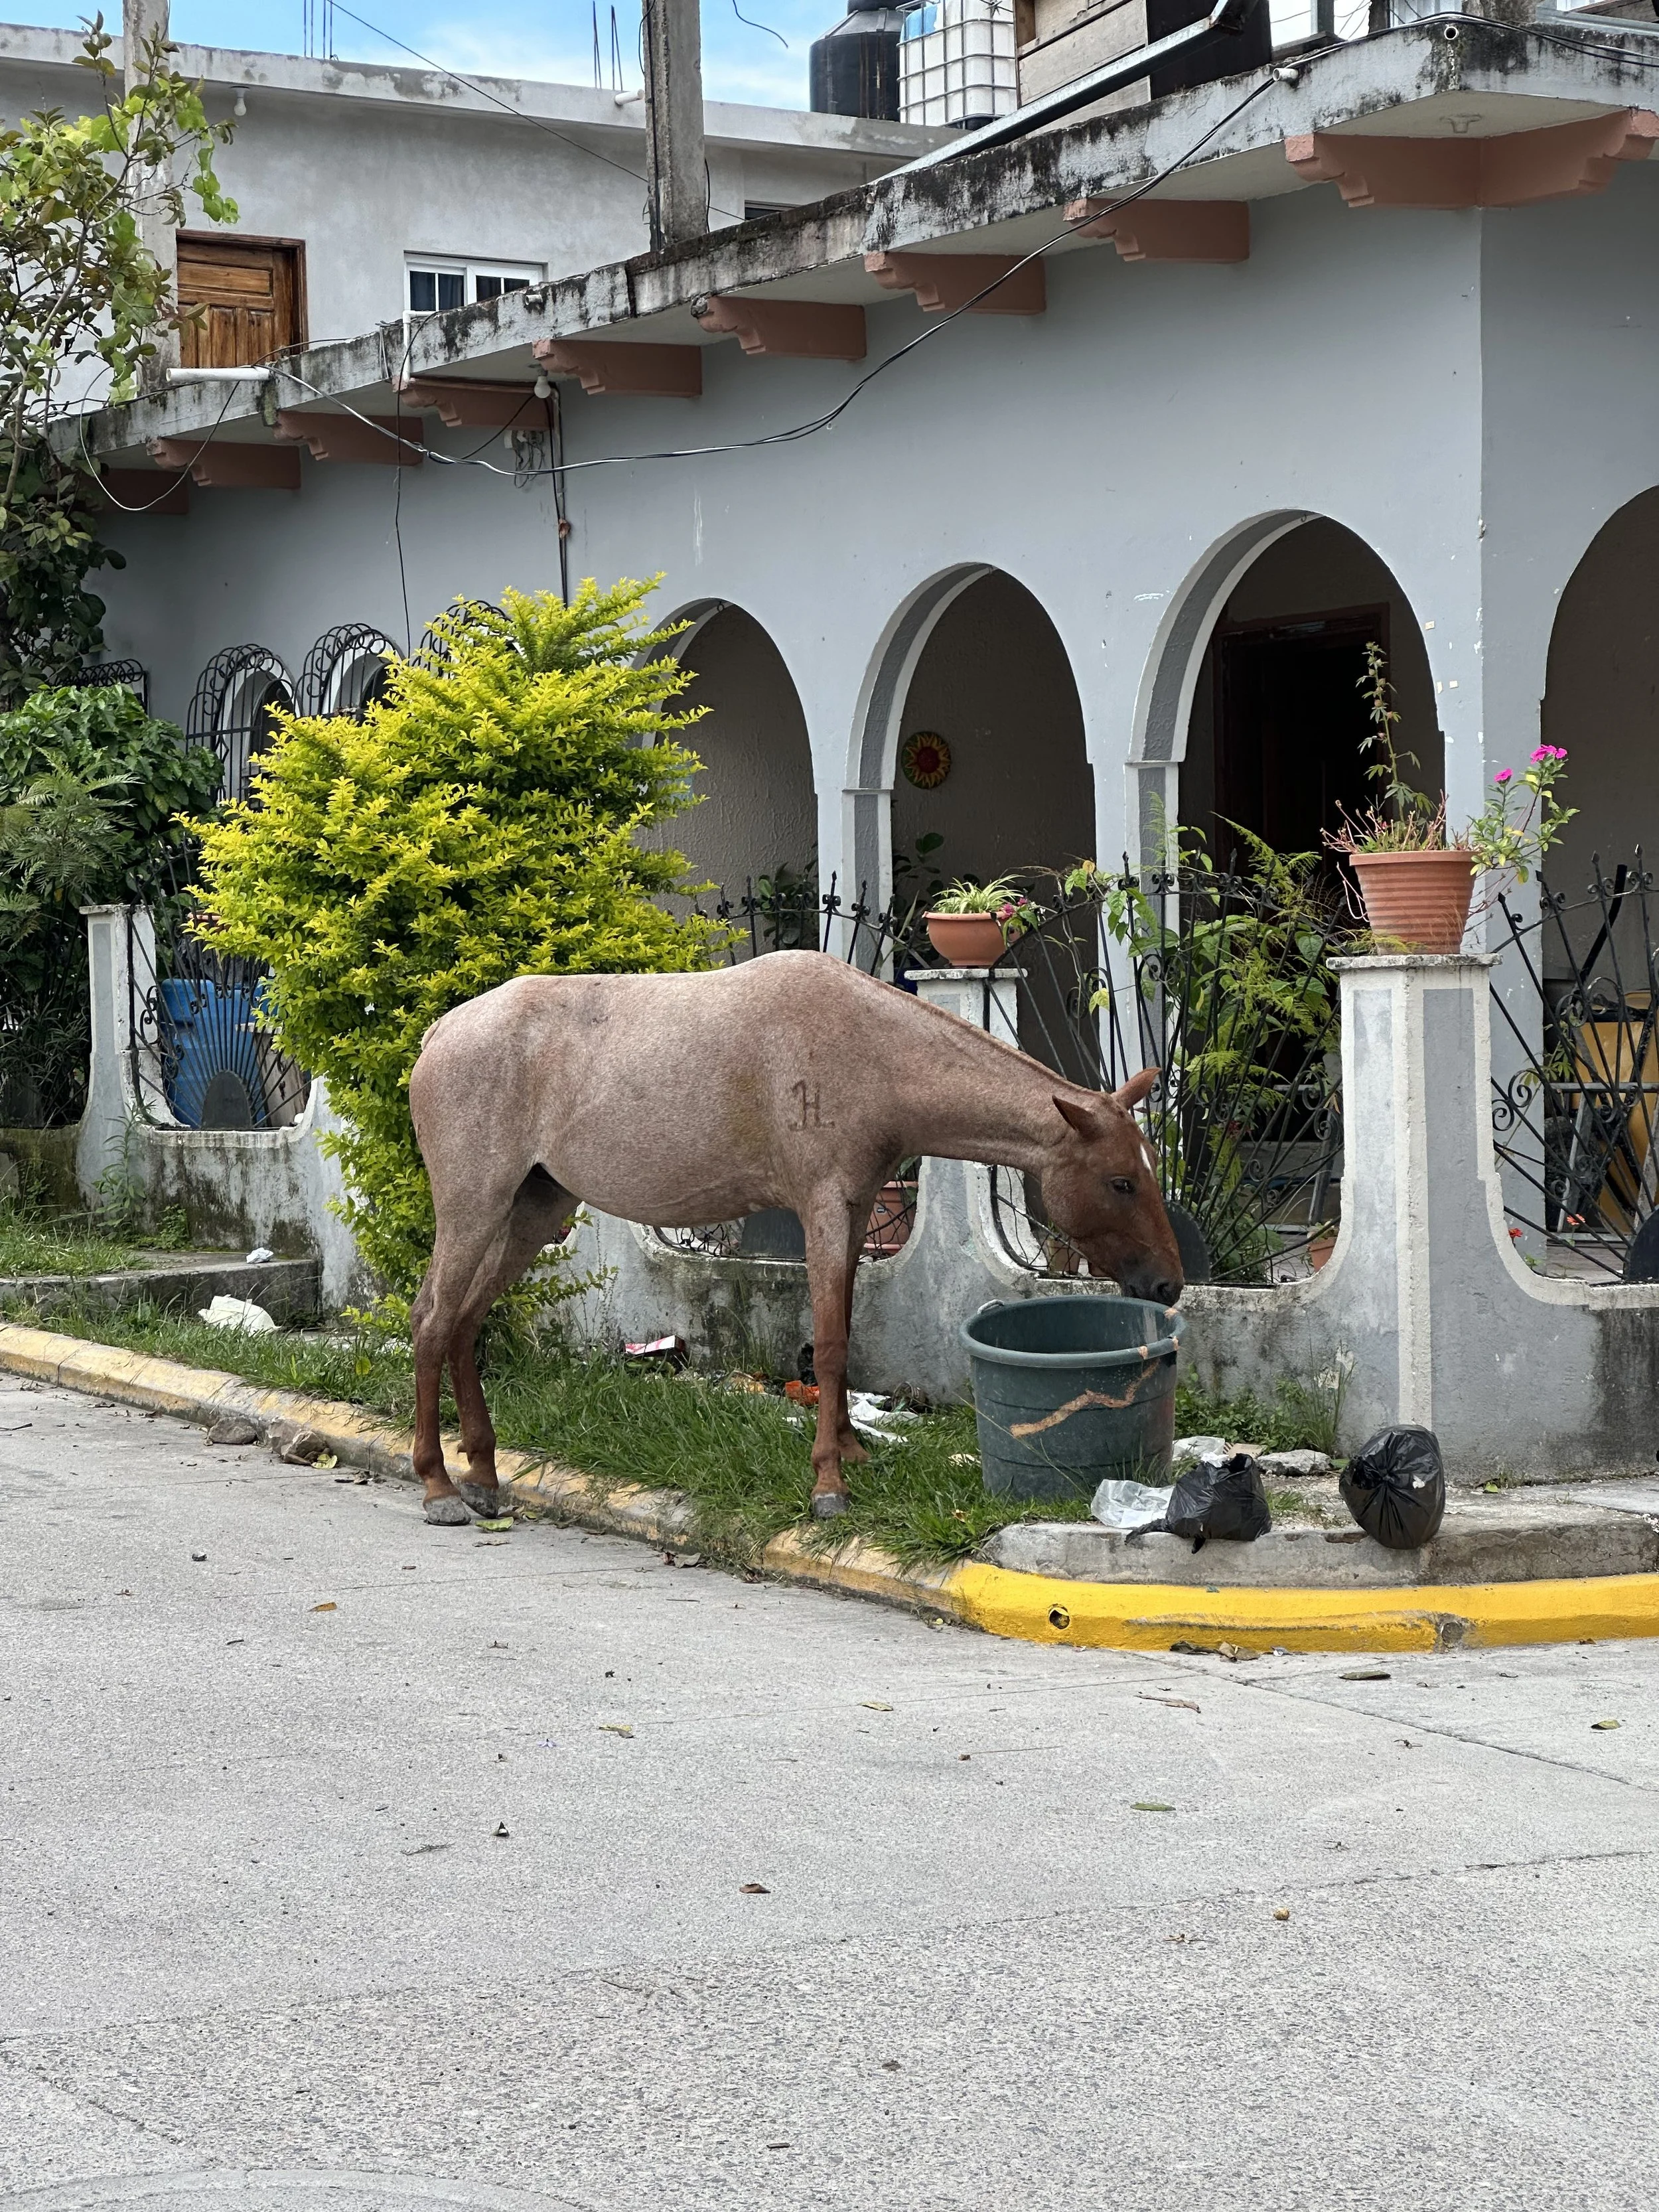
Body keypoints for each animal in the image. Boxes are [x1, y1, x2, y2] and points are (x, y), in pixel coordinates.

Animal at [408, 950, 1183, 1524]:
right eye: (1121, 1181)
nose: (1168, 1283)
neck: (872, 1055)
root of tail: (439, 1034)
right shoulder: (825, 1208)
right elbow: (833, 1345)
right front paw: (829, 1483)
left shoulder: (855, 1210)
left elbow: (844, 1334)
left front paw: (850, 1452)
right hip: (475, 1207)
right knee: (433, 1320)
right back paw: (438, 1483)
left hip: (532, 1210)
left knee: (464, 1322)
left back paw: (483, 1473)